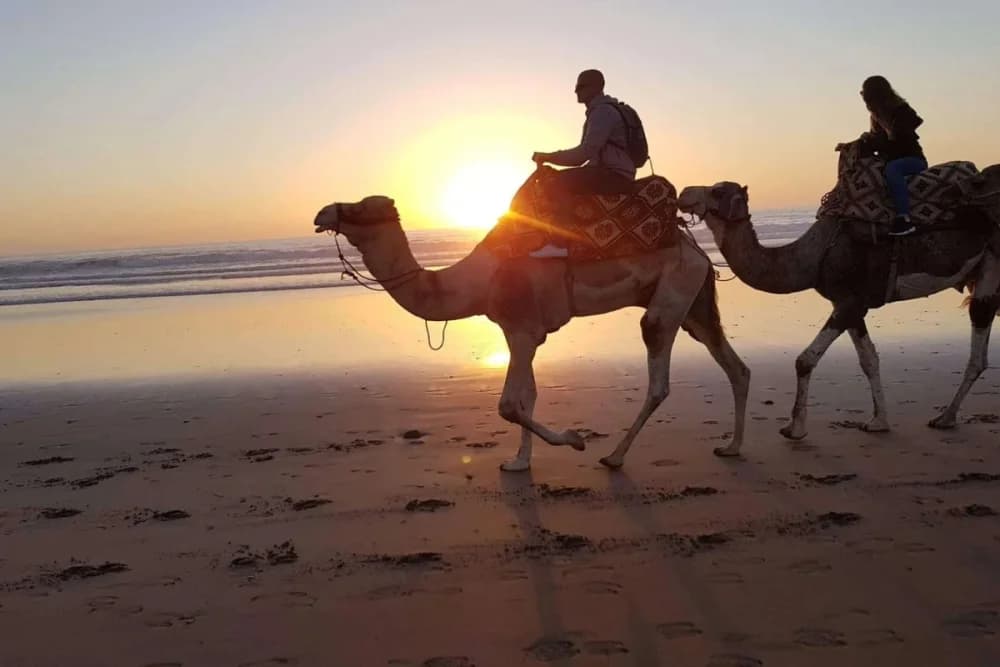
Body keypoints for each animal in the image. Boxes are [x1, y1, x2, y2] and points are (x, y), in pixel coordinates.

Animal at [313, 196, 750, 471]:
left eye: (357, 206)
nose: (321, 215)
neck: (478, 281)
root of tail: (697, 248)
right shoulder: (520, 333)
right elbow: (529, 396)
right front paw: (519, 463)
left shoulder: (523, 330)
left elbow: (509, 404)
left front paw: (574, 439)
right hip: (695, 303)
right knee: (735, 366)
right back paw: (731, 447)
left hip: (672, 293)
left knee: (659, 370)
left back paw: (614, 457)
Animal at [677, 167, 1000, 439]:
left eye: (717, 191)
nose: (684, 192)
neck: (815, 255)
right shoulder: (852, 304)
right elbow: (869, 359)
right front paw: (878, 421)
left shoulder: (848, 304)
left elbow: (805, 360)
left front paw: (795, 428)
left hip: (991, 265)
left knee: (978, 343)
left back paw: (945, 417)